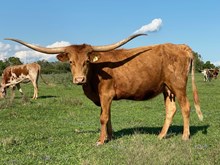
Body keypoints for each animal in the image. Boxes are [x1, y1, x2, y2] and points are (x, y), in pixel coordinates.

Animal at [5, 34, 204, 145]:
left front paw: (101, 141)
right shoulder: (103, 98)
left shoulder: (106, 94)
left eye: (86, 61)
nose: (79, 79)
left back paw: (185, 136)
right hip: (167, 88)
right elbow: (107, 116)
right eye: (71, 62)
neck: (95, 72)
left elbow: (103, 117)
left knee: (186, 107)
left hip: (178, 86)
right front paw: (110, 136)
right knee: (171, 109)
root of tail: (181, 46)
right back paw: (161, 136)